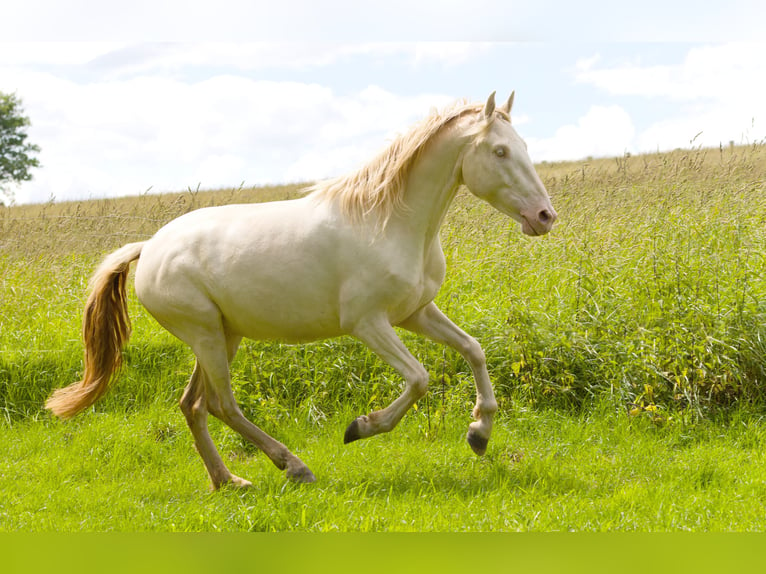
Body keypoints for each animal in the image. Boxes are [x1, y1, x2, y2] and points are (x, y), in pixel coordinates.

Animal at [46, 93, 560, 490]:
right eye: (499, 151)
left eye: (522, 146)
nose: (544, 217)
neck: (389, 222)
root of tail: (148, 247)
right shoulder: (368, 323)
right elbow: (419, 378)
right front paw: (361, 427)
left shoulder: (416, 312)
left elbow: (473, 350)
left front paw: (479, 434)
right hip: (206, 334)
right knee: (222, 404)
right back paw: (293, 467)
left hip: (222, 335)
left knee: (194, 405)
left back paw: (230, 481)